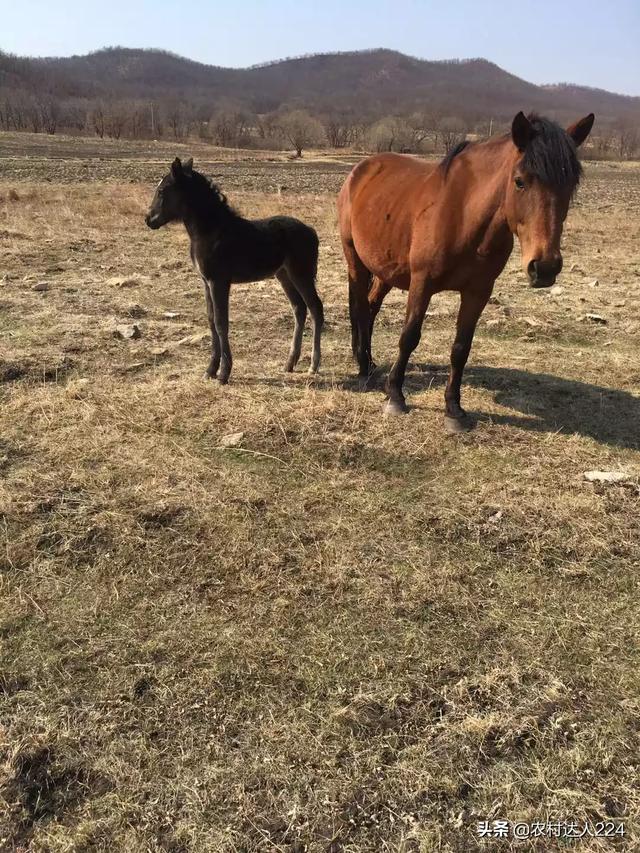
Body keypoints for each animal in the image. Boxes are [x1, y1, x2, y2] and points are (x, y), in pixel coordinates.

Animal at [147, 158, 322, 384]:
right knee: (299, 308)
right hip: (284, 275)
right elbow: (211, 321)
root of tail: (310, 230)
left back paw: (313, 365)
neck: (212, 231)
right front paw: (210, 370)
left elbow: (221, 322)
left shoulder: (219, 281)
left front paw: (223, 373)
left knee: (316, 308)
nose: (149, 219)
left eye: (162, 190)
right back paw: (290, 363)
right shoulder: (206, 282)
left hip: (301, 274)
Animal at [340, 112, 596, 430]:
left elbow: (461, 347)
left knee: (371, 306)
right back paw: (363, 368)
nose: (545, 267)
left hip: (386, 269)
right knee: (360, 308)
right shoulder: (422, 283)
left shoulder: (478, 291)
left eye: (571, 185)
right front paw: (395, 396)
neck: (464, 216)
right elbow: (409, 336)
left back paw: (369, 360)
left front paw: (454, 409)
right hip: (355, 260)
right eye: (520, 182)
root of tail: (361, 170)